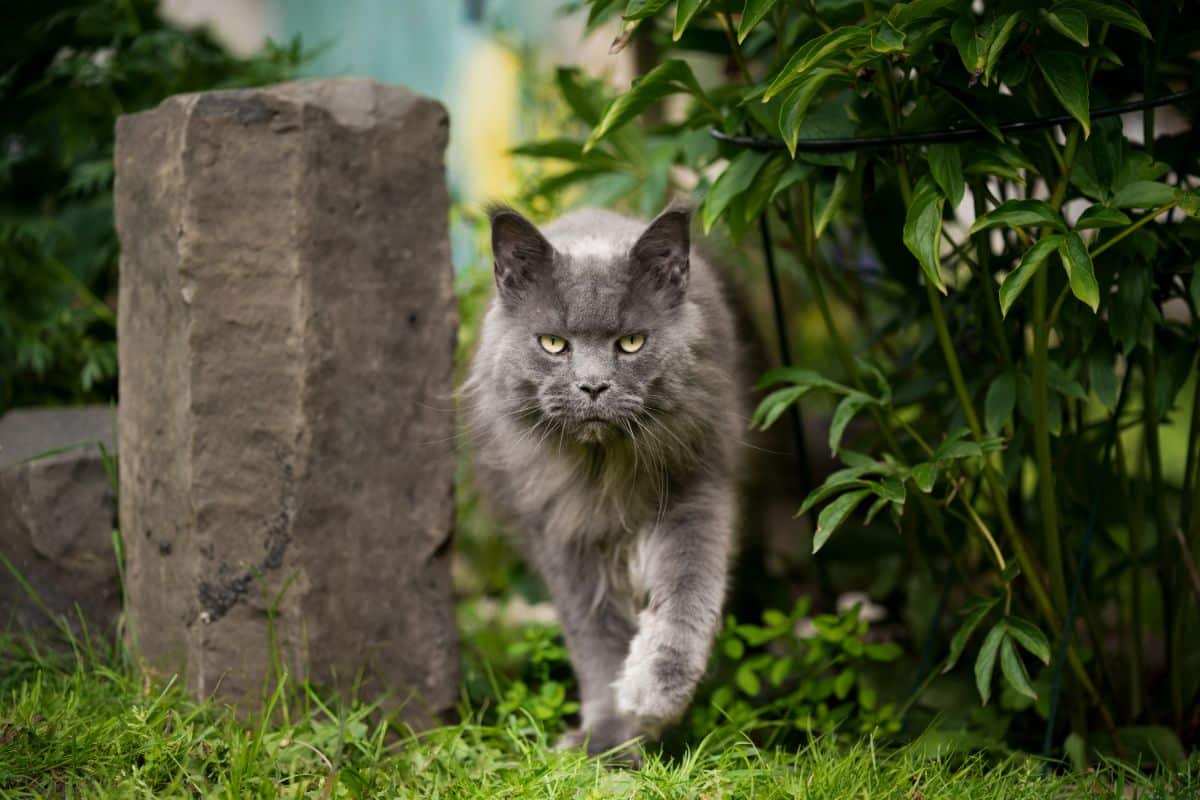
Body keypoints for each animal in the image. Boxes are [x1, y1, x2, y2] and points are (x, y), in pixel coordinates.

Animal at [463, 203, 744, 762]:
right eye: (553, 344)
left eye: (631, 342)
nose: (592, 386)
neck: (601, 472)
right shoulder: (560, 534)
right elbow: (595, 642)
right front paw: (608, 743)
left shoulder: (696, 491)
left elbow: (688, 594)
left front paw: (651, 696)